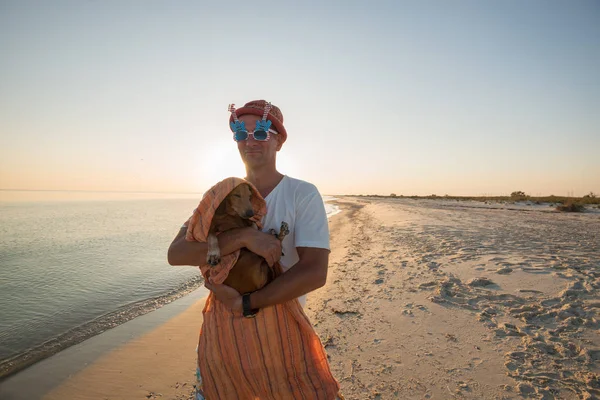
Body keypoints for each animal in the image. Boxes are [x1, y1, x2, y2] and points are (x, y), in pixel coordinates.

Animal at [185, 178, 340, 400]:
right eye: (236, 195)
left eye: (250, 195)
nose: (250, 212)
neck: (229, 216)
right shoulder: (213, 227)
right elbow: (213, 236)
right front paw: (213, 253)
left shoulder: (246, 225)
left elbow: (252, 229)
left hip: (257, 262)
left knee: (269, 256)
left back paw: (278, 235)